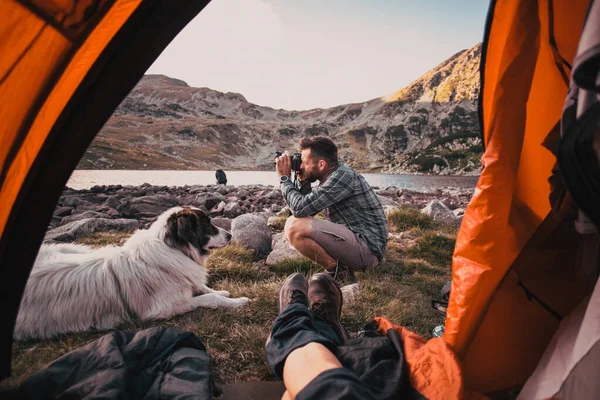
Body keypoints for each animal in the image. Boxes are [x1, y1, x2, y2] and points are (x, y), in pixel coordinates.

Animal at [14, 206, 248, 340]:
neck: (172, 249)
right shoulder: (165, 308)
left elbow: (204, 288)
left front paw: (223, 292)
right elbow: (208, 298)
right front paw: (237, 301)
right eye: (207, 223)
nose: (230, 235)